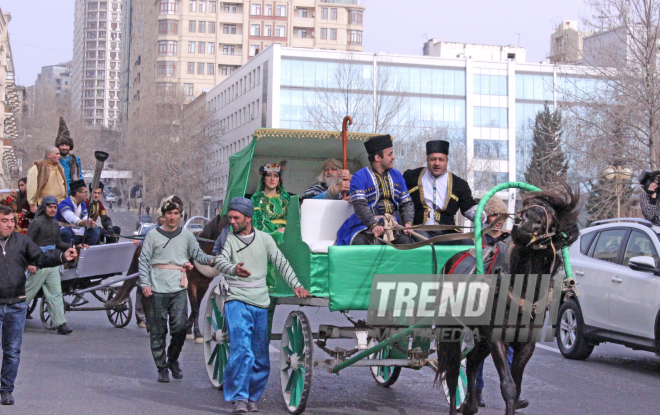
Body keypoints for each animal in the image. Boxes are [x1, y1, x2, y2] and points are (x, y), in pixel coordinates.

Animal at [440, 185, 580, 415]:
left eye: (552, 215)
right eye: (526, 206)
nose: (526, 220)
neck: (524, 289)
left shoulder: (525, 343)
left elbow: (517, 383)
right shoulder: (497, 337)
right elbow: (509, 386)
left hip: (481, 337)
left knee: (472, 361)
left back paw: (470, 404)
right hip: (451, 329)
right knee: (452, 373)